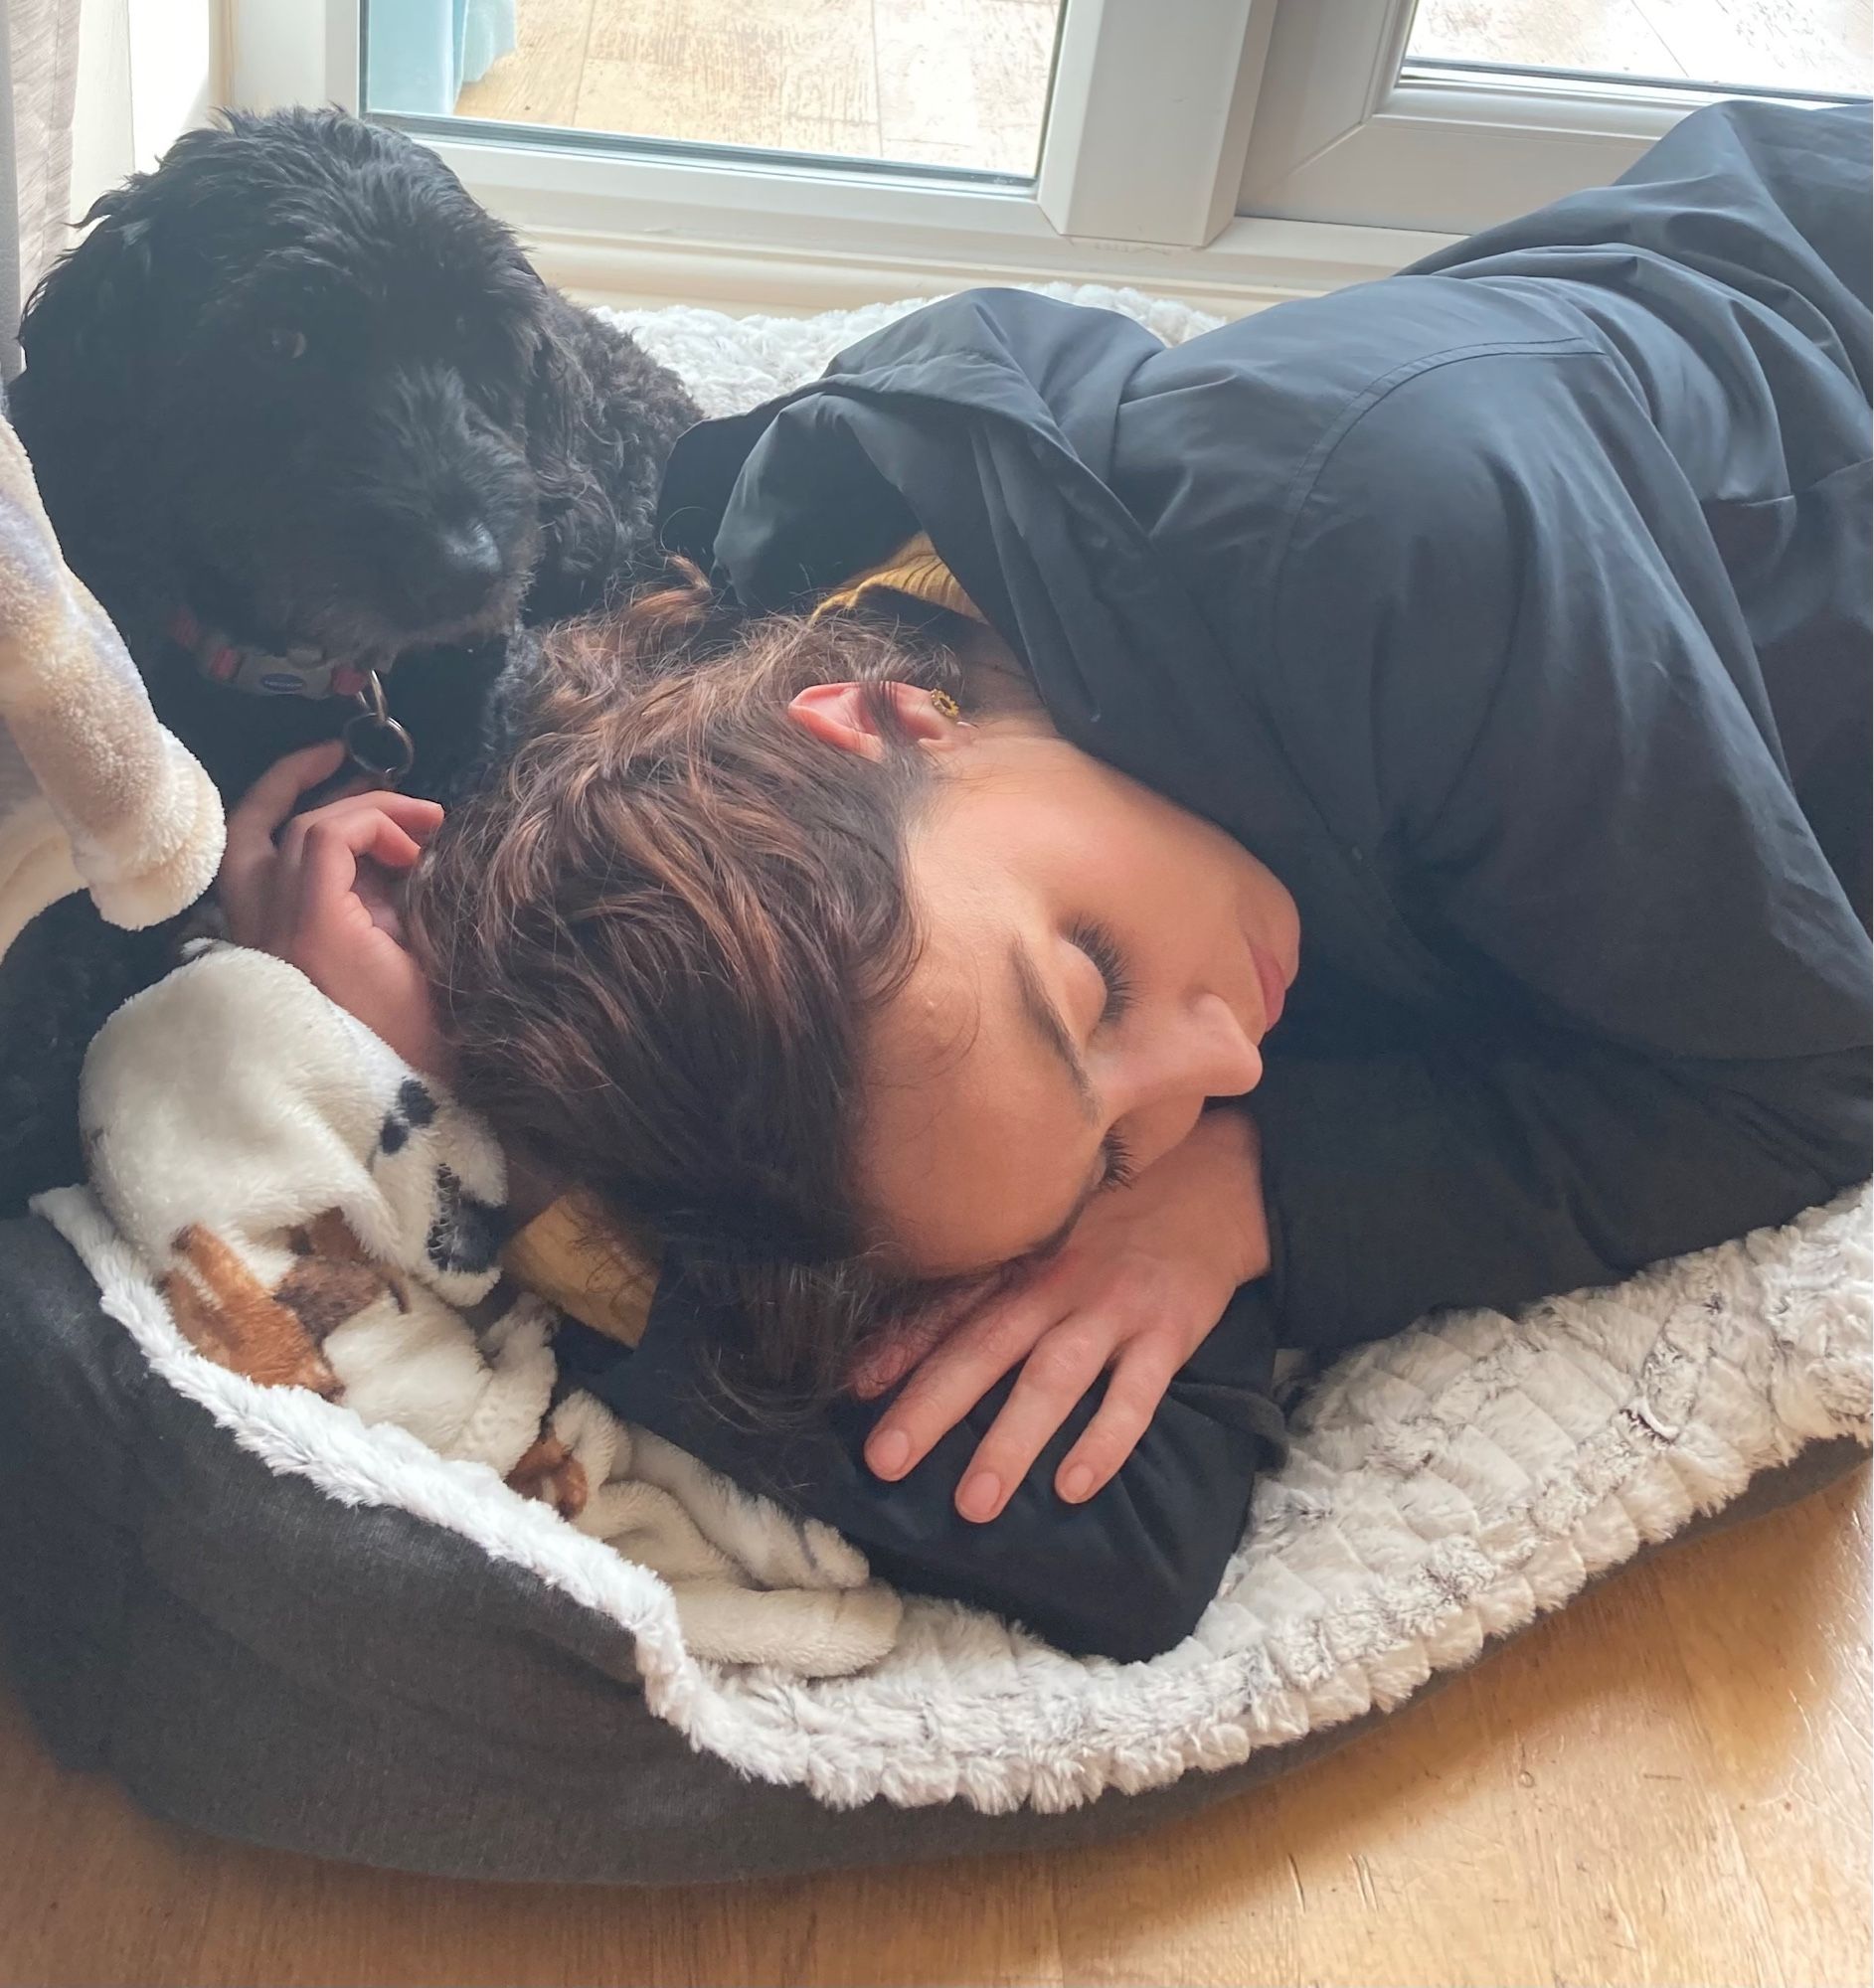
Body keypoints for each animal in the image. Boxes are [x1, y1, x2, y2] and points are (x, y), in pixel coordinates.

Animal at [0, 112, 704, 1209]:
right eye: (280, 341)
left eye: (476, 338)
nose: (469, 569)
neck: (307, 676)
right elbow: (95, 909)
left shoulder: (480, 719)